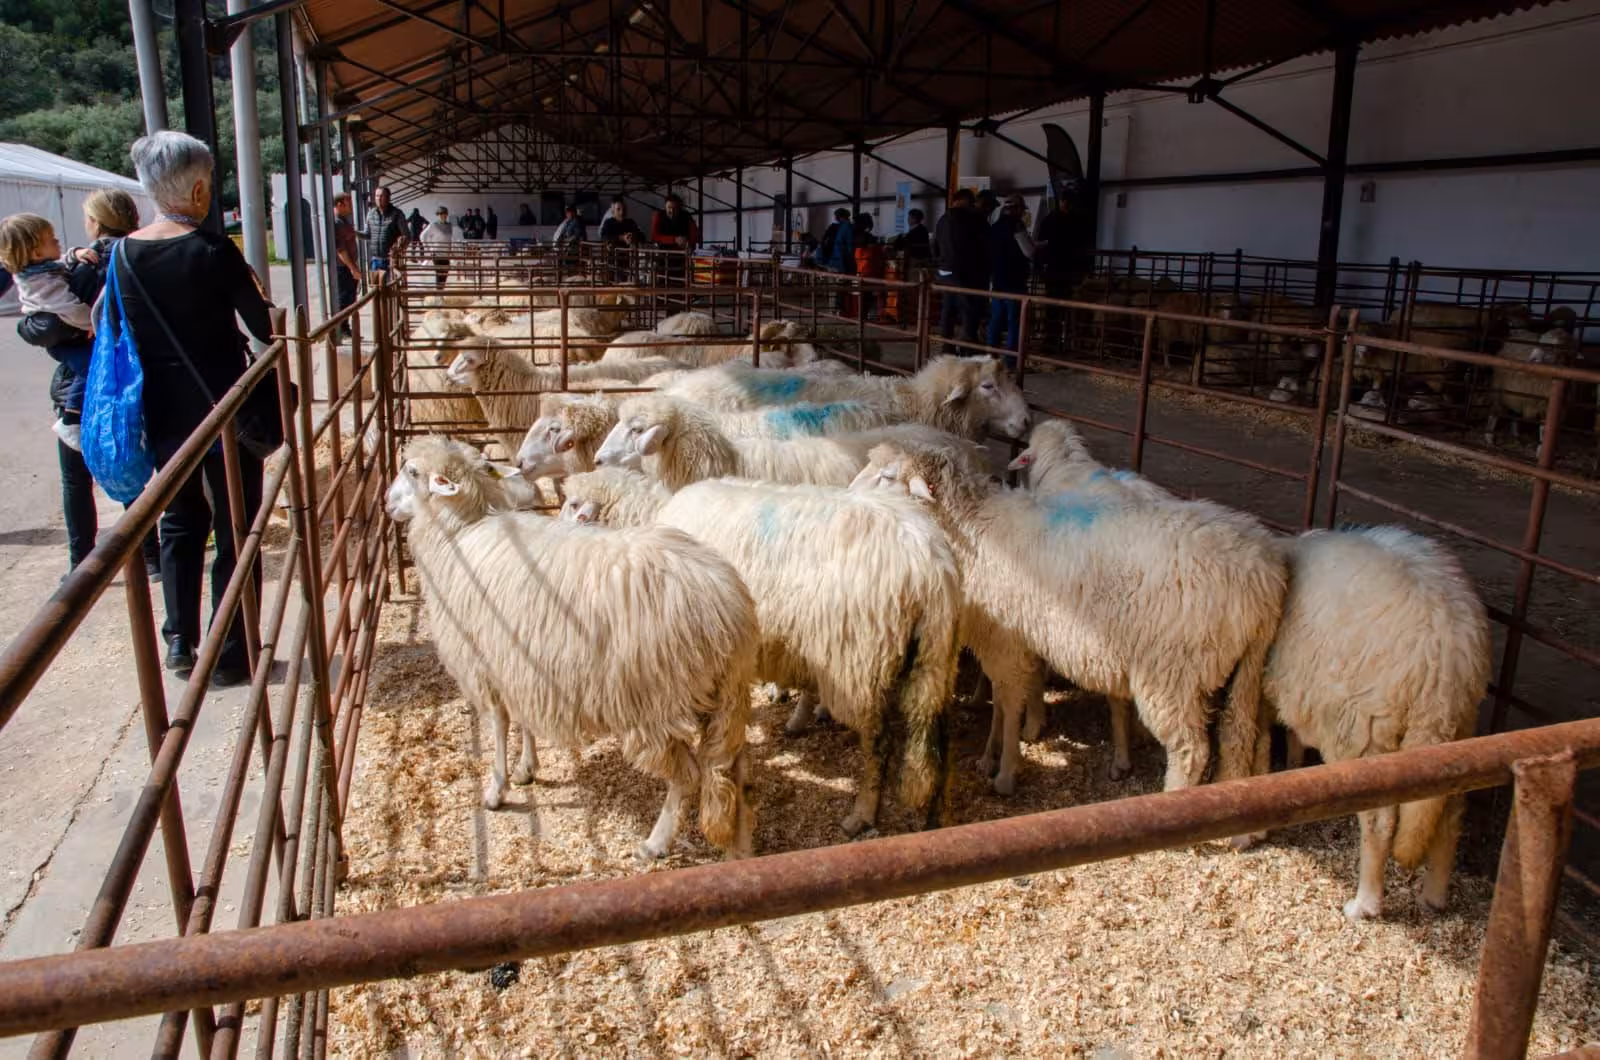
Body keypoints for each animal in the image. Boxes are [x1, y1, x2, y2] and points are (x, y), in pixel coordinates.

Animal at [385, 436, 758, 860]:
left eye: (412, 472)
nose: (387, 503)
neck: (460, 532)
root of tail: (728, 607)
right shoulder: (520, 661)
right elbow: (524, 720)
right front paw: (526, 769)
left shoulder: (484, 664)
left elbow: (499, 725)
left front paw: (496, 789)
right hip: (726, 697)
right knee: (731, 770)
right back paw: (740, 849)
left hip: (654, 708)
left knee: (688, 776)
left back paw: (655, 842)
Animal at [557, 467, 962, 835]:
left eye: (573, 505)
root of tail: (932, 566)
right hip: (935, 657)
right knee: (936, 737)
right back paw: (935, 819)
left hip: (861, 664)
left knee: (880, 745)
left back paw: (862, 814)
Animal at [852, 439, 1286, 797]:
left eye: (888, 476)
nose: (847, 496)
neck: (974, 527)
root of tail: (1263, 577)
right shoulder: (1010, 640)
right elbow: (1003, 699)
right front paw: (990, 756)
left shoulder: (1005, 640)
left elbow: (1008, 703)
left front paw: (1005, 771)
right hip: (1246, 672)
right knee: (1244, 736)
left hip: (1173, 672)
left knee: (1190, 749)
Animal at [1256, 526, 1490, 920]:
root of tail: (1444, 654)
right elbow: (1293, 739)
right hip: (1459, 729)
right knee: (1451, 813)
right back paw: (1434, 895)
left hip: (1363, 729)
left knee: (1380, 823)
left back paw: (1365, 902)